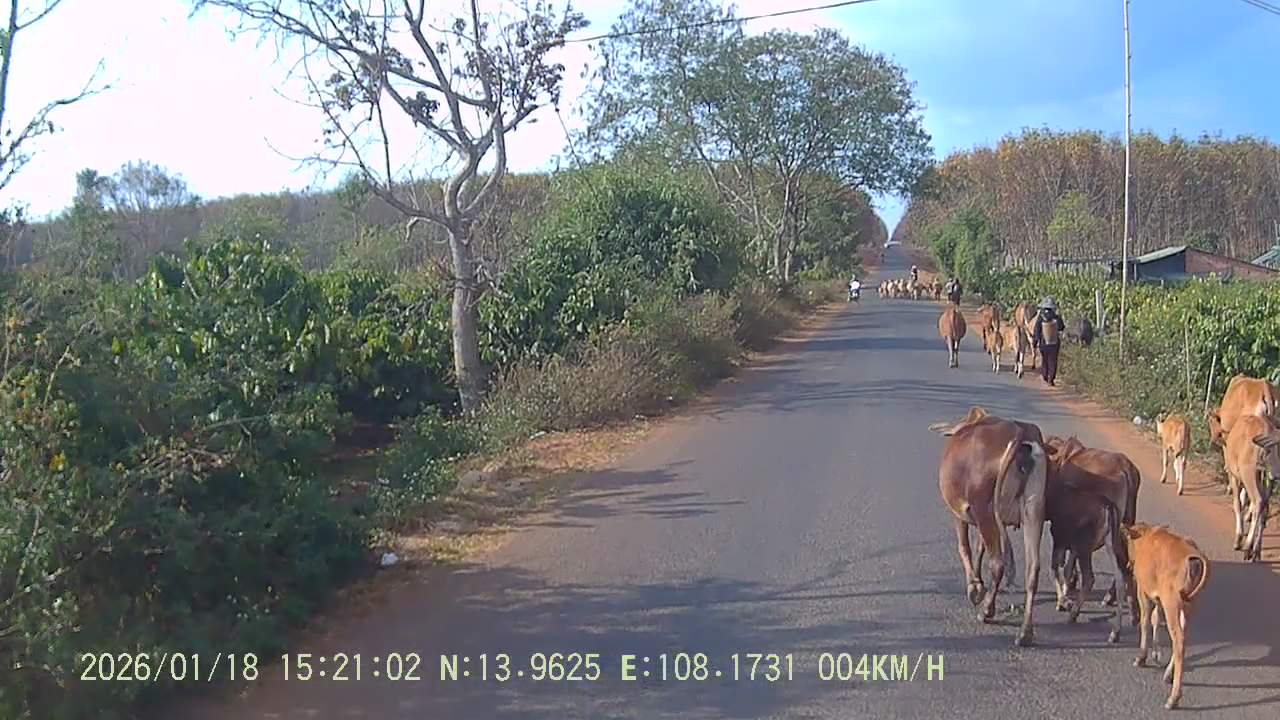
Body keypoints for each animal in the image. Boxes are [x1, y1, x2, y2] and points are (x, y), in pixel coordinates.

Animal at [933, 408, 1049, 646]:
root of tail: (1019, 433)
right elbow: (979, 549)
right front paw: (978, 583)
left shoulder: (960, 513)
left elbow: (965, 549)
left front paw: (974, 588)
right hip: (1033, 511)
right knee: (1032, 569)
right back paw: (1025, 633)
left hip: (986, 511)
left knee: (998, 564)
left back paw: (987, 610)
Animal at [1125, 523, 1211, 710]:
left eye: (1127, 542)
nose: (1128, 564)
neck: (1146, 536)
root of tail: (1194, 556)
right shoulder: (1158, 599)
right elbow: (1155, 619)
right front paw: (1155, 653)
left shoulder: (1143, 591)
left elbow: (1145, 621)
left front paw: (1142, 657)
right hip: (1187, 605)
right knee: (1183, 636)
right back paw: (1168, 675)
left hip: (1172, 604)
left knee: (1178, 641)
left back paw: (1174, 697)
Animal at [1222, 413, 1279, 561]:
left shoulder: (1234, 477)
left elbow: (1238, 504)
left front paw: (1238, 539)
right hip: (1267, 478)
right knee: (1264, 507)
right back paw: (1256, 550)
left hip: (1249, 474)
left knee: (1258, 502)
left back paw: (1248, 548)